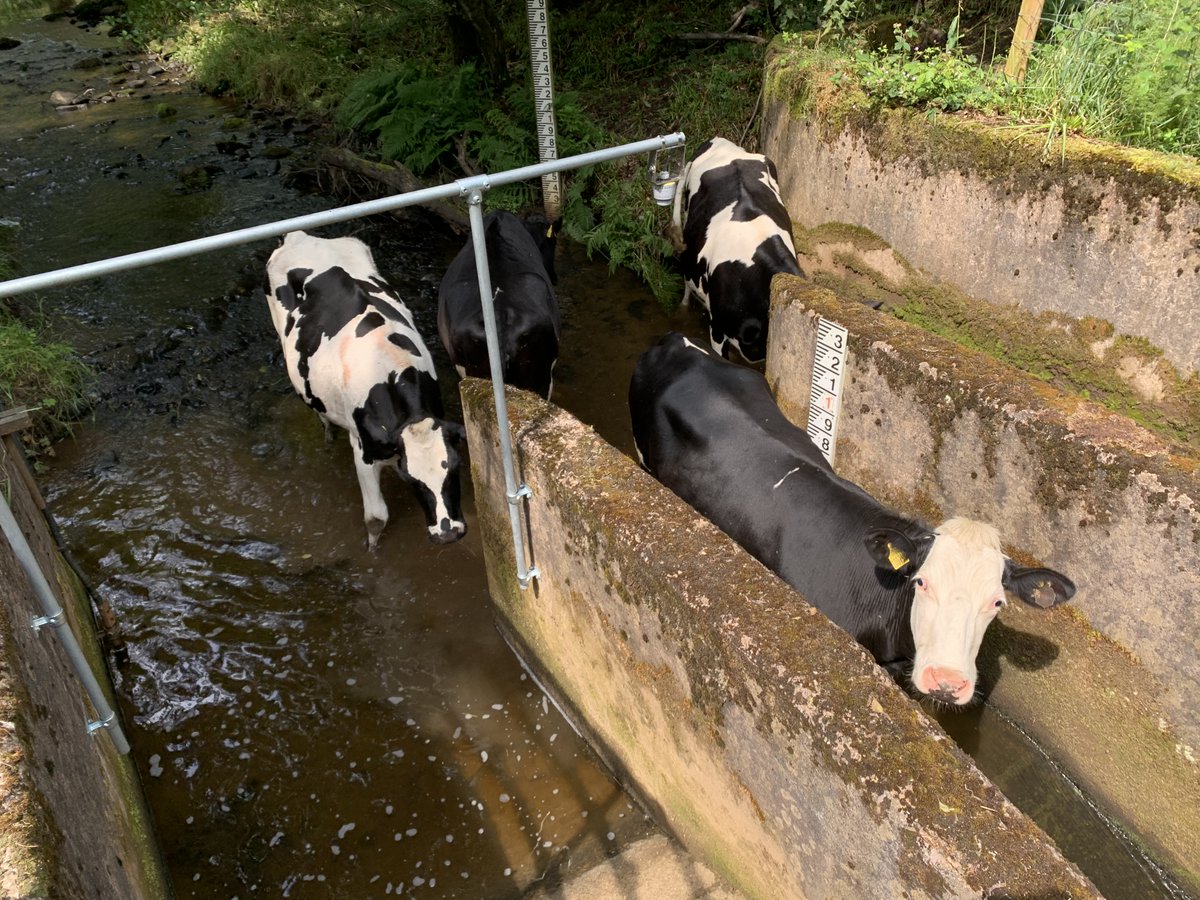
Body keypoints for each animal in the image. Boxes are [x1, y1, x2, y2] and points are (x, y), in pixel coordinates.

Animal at [266, 230, 467, 550]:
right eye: (414, 481)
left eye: (456, 468)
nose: (447, 533)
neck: (389, 370)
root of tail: (300, 235)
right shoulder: (362, 452)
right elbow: (376, 517)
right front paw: (372, 550)